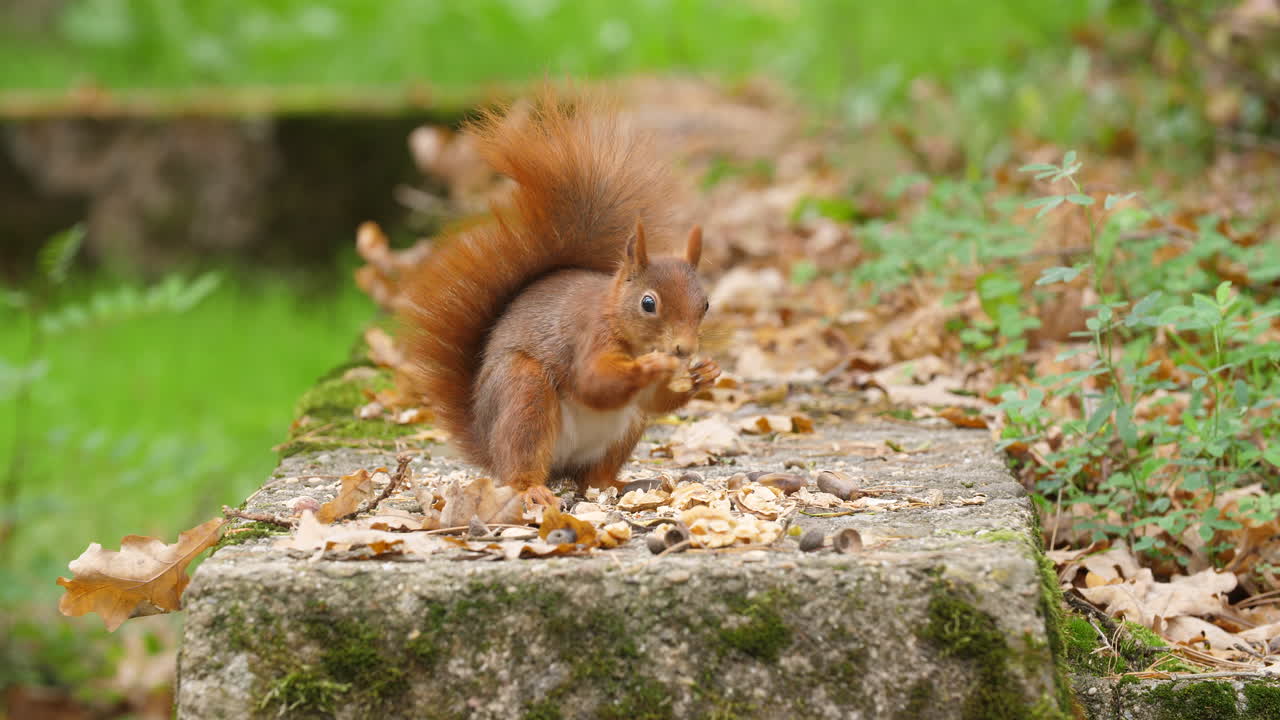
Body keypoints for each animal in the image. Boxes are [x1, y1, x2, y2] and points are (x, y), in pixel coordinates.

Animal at [404, 89, 720, 509]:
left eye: (706, 304)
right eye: (648, 303)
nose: (684, 350)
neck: (615, 315)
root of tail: (488, 445)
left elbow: (656, 401)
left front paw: (704, 374)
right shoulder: (589, 337)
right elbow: (592, 382)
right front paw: (648, 366)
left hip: (624, 429)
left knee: (593, 477)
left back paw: (622, 484)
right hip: (524, 394)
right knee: (522, 461)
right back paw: (531, 489)